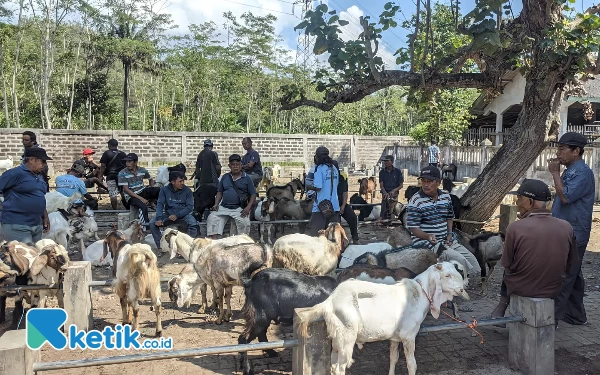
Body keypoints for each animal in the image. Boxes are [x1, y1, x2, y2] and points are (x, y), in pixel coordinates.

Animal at [298, 262, 472, 375]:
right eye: (447, 275)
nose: (462, 289)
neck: (421, 292)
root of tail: (330, 301)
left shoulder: (395, 338)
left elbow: (393, 359)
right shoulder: (409, 336)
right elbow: (412, 365)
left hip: (336, 340)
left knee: (333, 365)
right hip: (346, 338)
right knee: (340, 368)